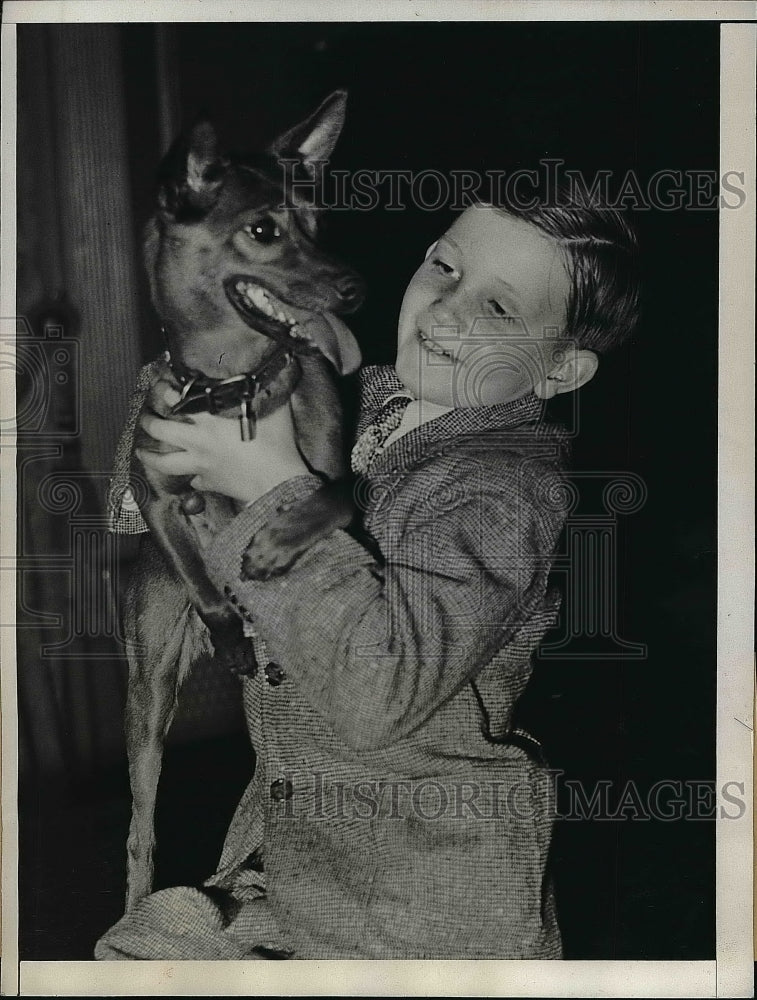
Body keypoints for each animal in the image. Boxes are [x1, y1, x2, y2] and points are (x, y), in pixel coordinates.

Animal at [118, 90, 364, 912]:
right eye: (263, 231)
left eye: (319, 222)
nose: (354, 288)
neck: (232, 389)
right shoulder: (155, 494)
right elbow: (196, 565)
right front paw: (224, 621)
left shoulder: (334, 476)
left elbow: (336, 499)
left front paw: (276, 542)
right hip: (148, 699)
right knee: (141, 827)